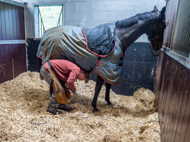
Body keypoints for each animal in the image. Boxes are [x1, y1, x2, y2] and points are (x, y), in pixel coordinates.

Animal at [36, 5, 165, 112]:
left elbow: (107, 86)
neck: (118, 39)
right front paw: (94, 106)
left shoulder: (110, 70)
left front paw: (108, 102)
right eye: (163, 24)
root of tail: (45, 34)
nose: (158, 47)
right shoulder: (104, 69)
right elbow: (99, 88)